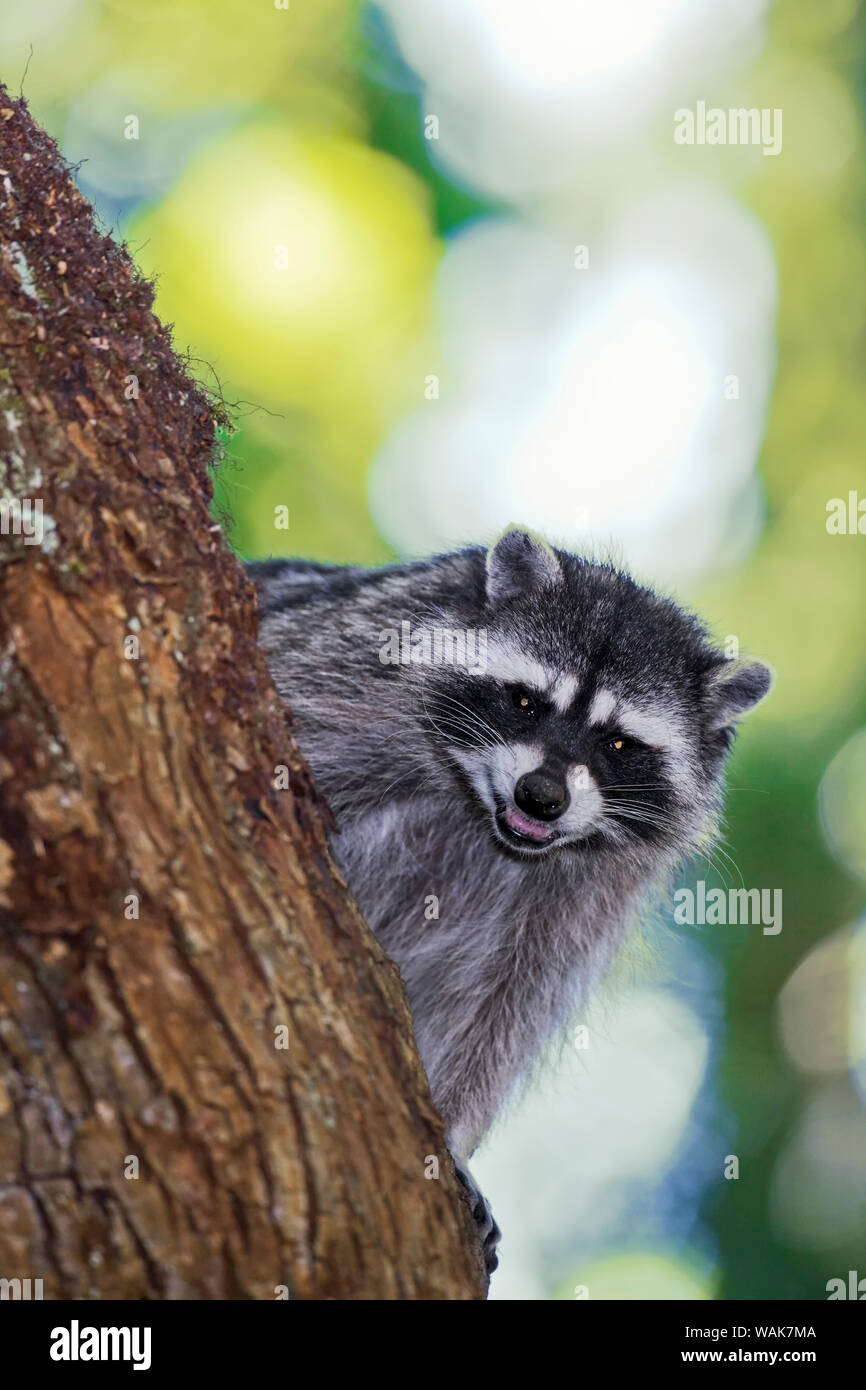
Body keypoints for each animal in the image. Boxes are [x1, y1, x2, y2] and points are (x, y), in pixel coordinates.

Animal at [248, 528, 772, 1273]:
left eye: (618, 743)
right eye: (526, 703)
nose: (541, 795)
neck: (483, 811)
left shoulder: (587, 894)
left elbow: (506, 1006)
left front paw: (452, 1133)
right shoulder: (337, 677)